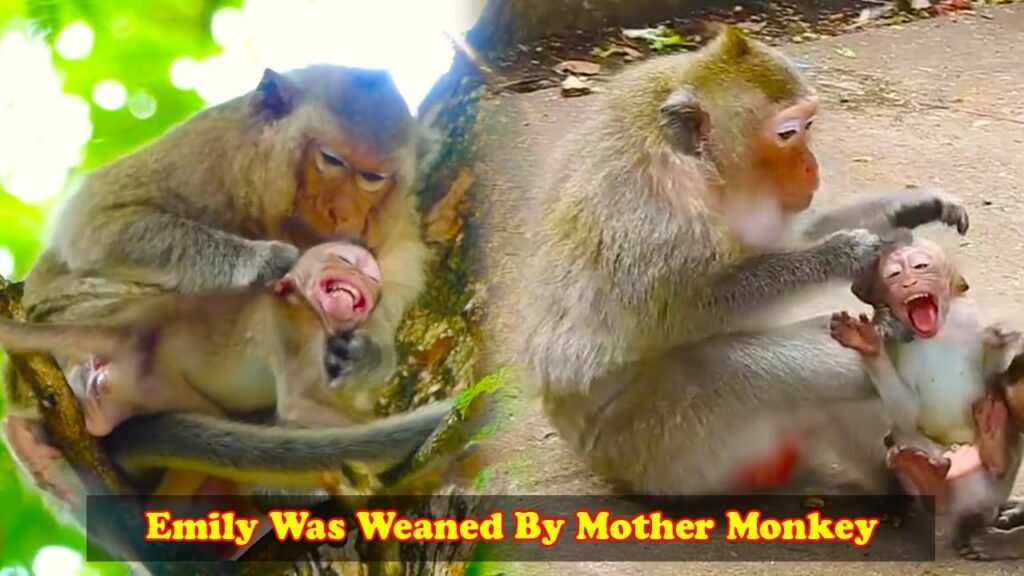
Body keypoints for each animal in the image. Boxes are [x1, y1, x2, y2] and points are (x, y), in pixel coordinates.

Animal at [3, 63, 435, 504]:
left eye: (374, 177)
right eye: (331, 160)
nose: (343, 214)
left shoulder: (395, 226)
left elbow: (395, 274)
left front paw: (368, 355)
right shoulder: (211, 150)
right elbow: (99, 224)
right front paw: (263, 261)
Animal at [515, 25, 972, 500]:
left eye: (810, 125)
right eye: (788, 133)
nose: (811, 168)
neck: (704, 170)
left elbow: (788, 237)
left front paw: (906, 207)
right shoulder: (645, 207)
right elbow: (683, 309)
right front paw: (842, 254)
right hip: (656, 447)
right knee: (724, 368)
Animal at [828, 236, 1023, 518]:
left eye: (920, 266)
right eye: (895, 274)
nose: (909, 282)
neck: (937, 332)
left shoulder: (970, 318)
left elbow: (992, 380)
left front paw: (1001, 338)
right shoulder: (897, 346)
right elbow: (908, 414)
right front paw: (867, 345)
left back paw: (994, 444)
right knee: (900, 435)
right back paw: (928, 480)